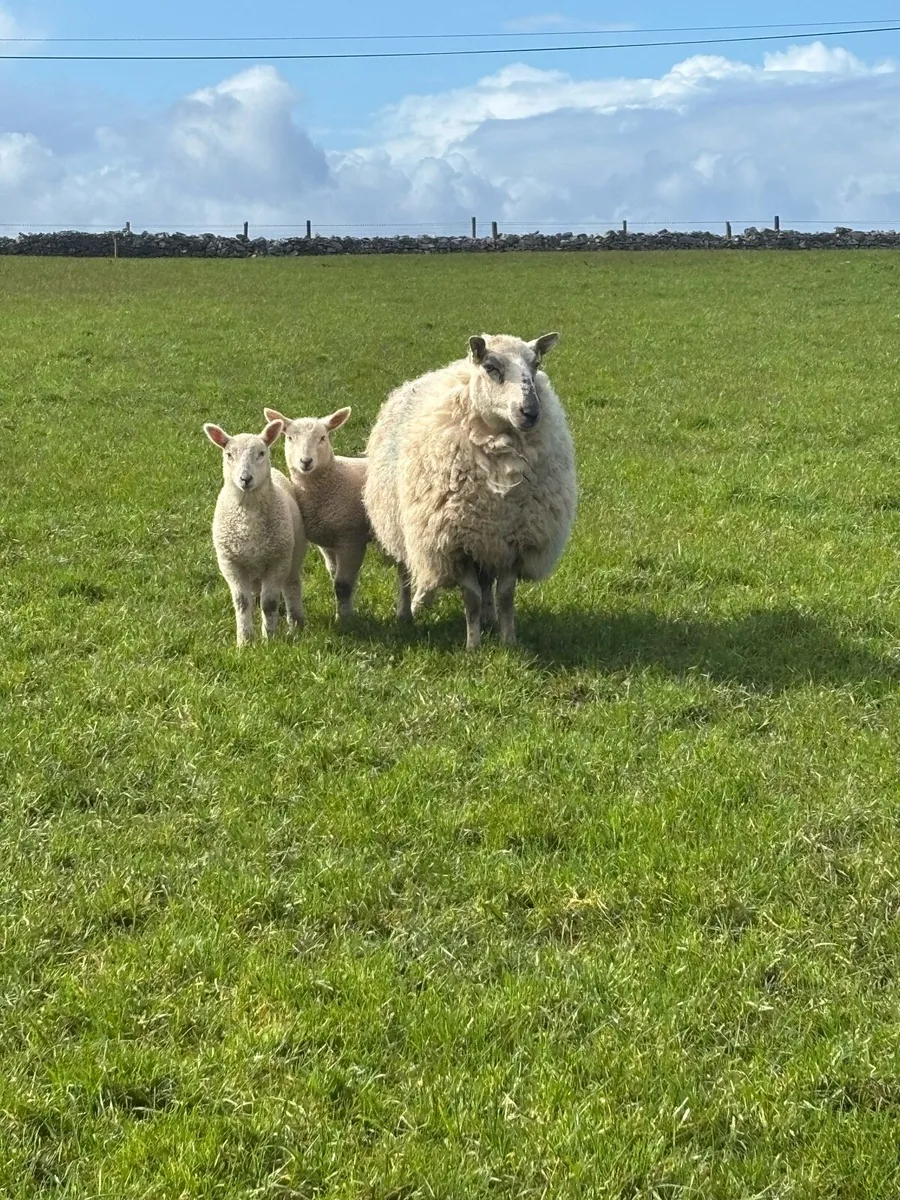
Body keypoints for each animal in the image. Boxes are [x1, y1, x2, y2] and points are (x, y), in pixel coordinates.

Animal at [203, 419, 307, 645]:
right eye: (228, 454)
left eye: (261, 453)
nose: (245, 479)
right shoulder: (231, 564)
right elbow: (242, 602)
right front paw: (245, 641)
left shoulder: (277, 561)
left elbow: (270, 603)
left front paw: (270, 639)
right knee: (254, 594)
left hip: (293, 556)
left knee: (291, 586)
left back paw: (296, 624)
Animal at [262, 405, 371, 622]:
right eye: (289, 438)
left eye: (323, 437)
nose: (306, 461)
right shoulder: (328, 544)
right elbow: (336, 578)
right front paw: (343, 612)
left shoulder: (352, 539)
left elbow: (343, 585)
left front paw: (345, 619)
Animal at [364, 332, 576, 650]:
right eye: (491, 367)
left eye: (536, 364)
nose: (530, 412)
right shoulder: (456, 543)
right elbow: (471, 598)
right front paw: (473, 647)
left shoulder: (513, 541)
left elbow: (505, 597)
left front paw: (508, 641)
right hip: (401, 525)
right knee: (405, 571)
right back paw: (407, 612)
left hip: (487, 540)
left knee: (487, 581)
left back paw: (488, 618)